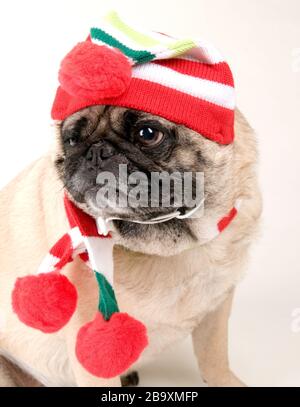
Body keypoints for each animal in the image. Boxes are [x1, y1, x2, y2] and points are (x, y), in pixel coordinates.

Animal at [0, 101, 262, 386]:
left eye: (148, 134)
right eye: (71, 140)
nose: (96, 151)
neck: (169, 246)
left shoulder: (216, 306)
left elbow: (214, 357)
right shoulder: (94, 347)